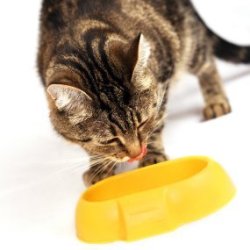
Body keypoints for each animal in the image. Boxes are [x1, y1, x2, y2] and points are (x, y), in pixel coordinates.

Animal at [37, 0, 250, 186]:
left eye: (142, 123)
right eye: (110, 140)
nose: (136, 153)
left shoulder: (163, 79)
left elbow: (157, 124)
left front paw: (152, 155)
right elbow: (89, 146)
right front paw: (99, 166)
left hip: (186, 39)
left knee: (206, 60)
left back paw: (215, 101)